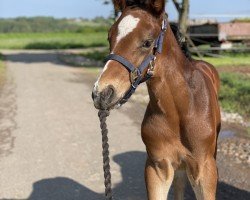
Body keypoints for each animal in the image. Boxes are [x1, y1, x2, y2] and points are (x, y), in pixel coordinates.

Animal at [92, 0, 221, 199]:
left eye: (147, 42)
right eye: (109, 38)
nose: (102, 93)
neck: (180, 111)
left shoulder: (204, 169)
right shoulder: (157, 167)